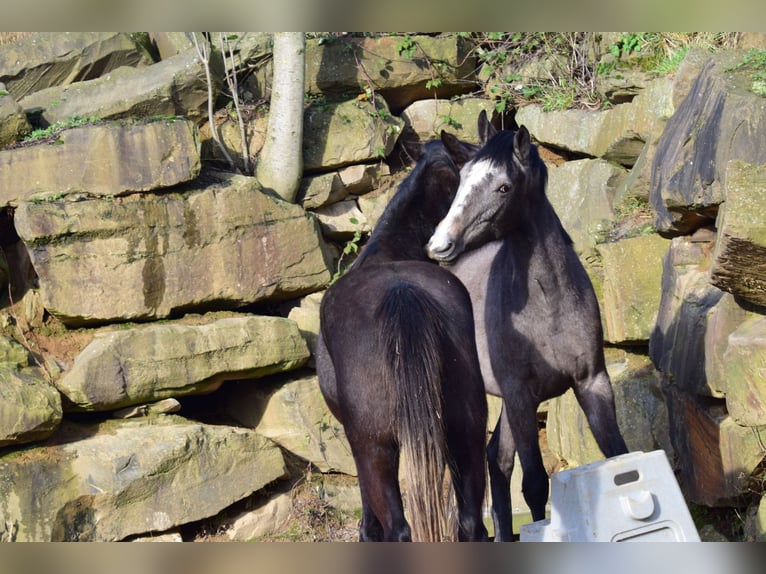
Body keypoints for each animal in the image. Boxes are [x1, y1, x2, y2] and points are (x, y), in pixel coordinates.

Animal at [316, 137, 486, 544]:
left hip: (377, 447)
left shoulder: (360, 441)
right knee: (471, 523)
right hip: (466, 432)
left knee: (399, 529)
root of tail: (402, 293)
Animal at [426, 113, 632, 544]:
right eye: (462, 178)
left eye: (504, 186)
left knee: (497, 460)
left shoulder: (591, 382)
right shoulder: (522, 397)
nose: (440, 244)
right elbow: (535, 484)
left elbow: (617, 454)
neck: (547, 302)